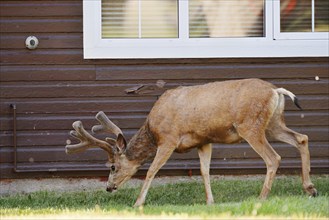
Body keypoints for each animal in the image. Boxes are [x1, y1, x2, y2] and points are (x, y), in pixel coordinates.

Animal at [66, 78, 316, 206]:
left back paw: (262, 197)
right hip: (272, 123)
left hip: (250, 125)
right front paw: (210, 202)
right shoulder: (203, 141)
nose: (108, 188)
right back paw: (310, 188)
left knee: (274, 157)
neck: (152, 130)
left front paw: (138, 203)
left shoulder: (168, 139)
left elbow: (151, 170)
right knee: (301, 138)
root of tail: (276, 90)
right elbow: (204, 171)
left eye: (112, 166)